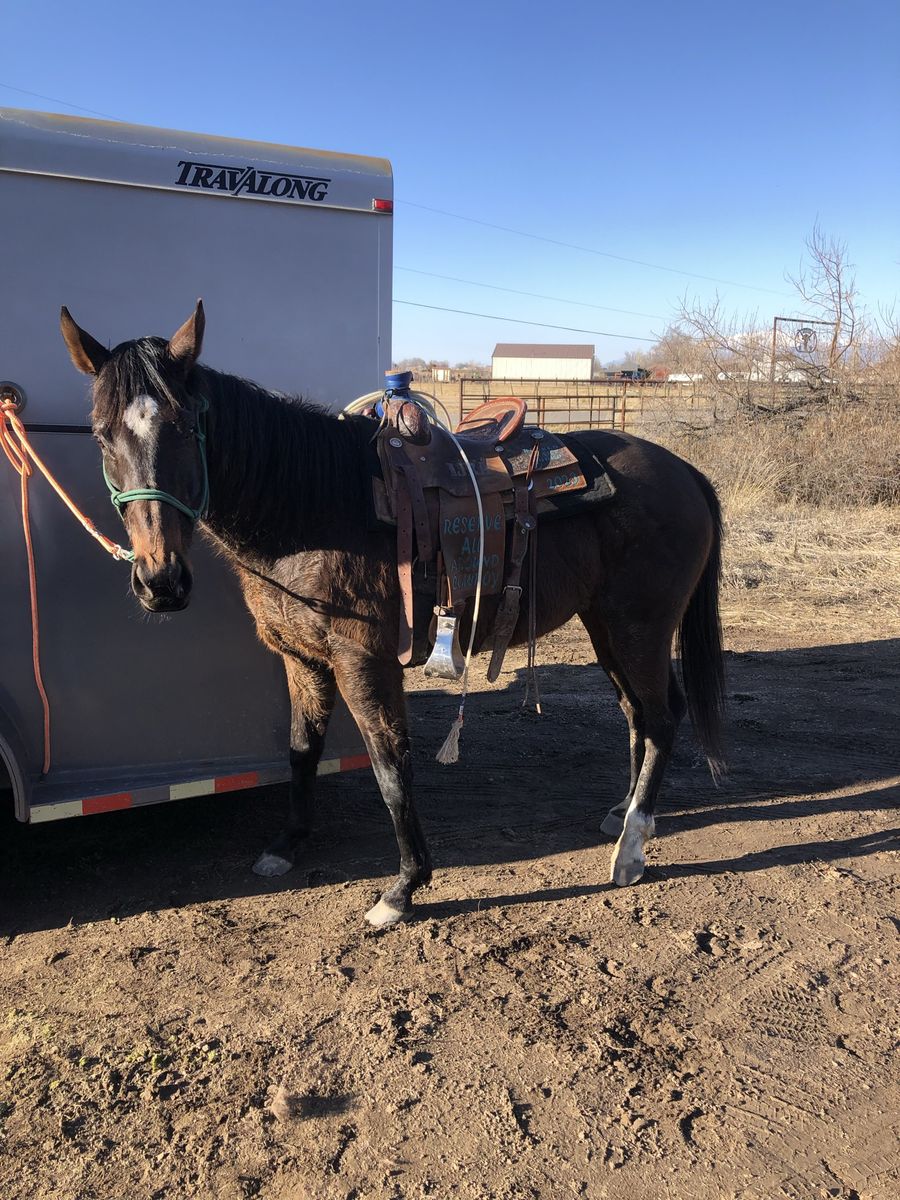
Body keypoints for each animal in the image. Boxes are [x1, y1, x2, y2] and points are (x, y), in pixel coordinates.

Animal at [60, 301, 726, 928]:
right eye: (100, 436)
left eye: (184, 425)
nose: (161, 582)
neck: (313, 509)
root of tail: (686, 472)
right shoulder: (301, 658)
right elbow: (301, 748)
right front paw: (288, 845)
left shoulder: (365, 662)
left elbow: (389, 767)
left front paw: (404, 887)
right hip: (606, 627)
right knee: (639, 714)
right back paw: (627, 814)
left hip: (639, 627)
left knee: (661, 718)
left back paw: (632, 847)